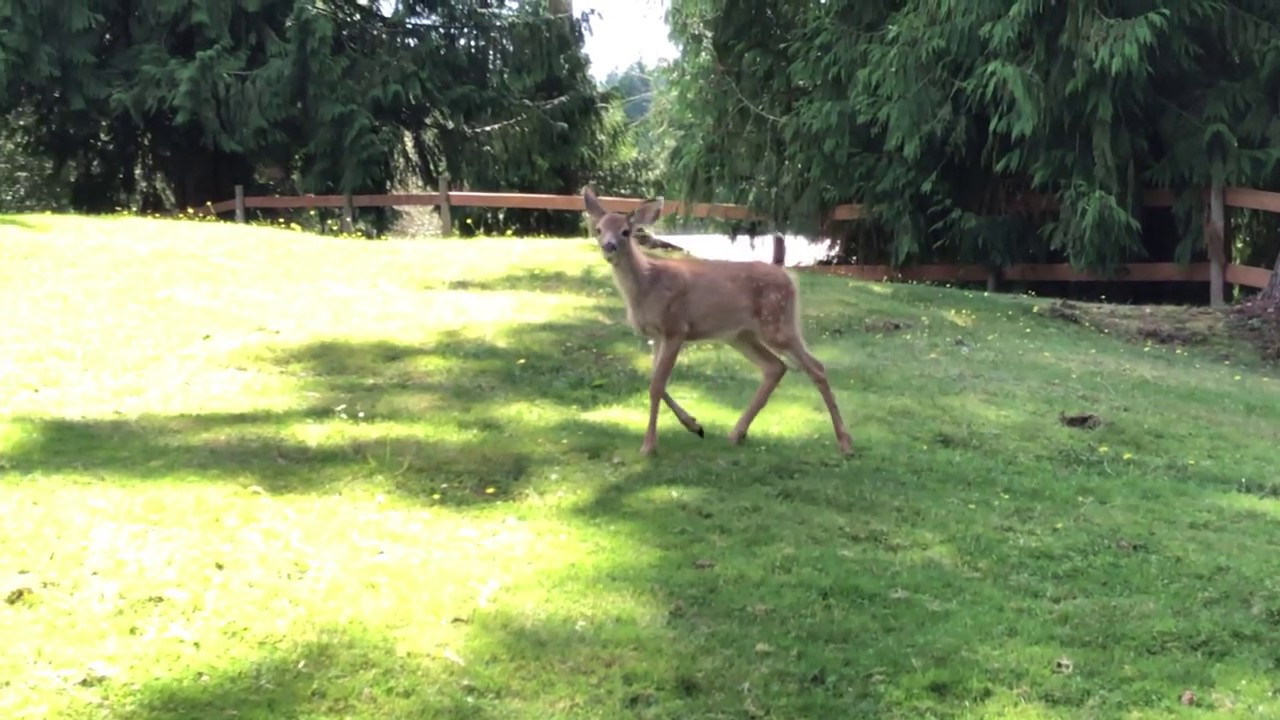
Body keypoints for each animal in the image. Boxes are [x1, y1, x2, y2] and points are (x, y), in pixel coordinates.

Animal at [581, 186, 854, 457]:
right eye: (599, 229)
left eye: (625, 232)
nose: (609, 246)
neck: (648, 285)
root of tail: (785, 273)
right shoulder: (657, 335)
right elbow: (654, 381)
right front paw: (694, 425)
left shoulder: (676, 328)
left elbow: (657, 385)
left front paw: (649, 445)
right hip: (740, 335)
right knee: (775, 367)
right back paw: (736, 433)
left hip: (777, 323)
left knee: (816, 367)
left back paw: (845, 443)